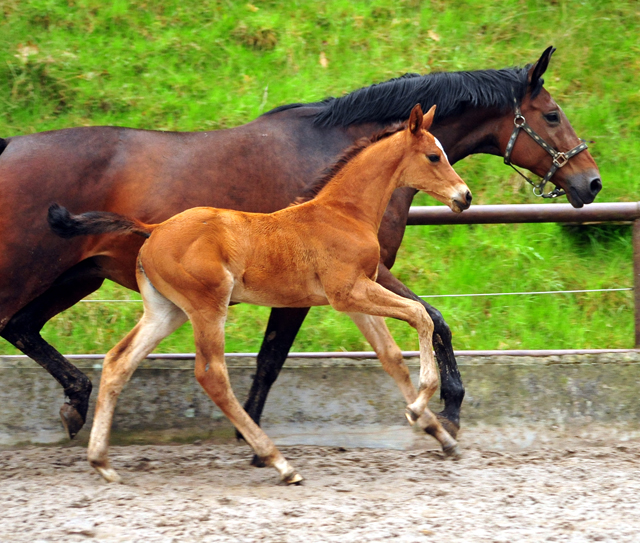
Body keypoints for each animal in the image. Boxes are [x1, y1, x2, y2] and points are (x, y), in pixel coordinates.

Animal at [48, 105, 470, 484]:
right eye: (434, 155)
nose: (464, 196)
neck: (343, 213)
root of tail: (153, 229)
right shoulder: (349, 292)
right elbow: (420, 315)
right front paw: (422, 401)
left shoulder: (356, 300)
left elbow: (391, 356)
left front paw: (436, 431)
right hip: (208, 307)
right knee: (212, 376)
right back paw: (279, 462)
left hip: (166, 311)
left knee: (118, 362)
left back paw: (102, 462)